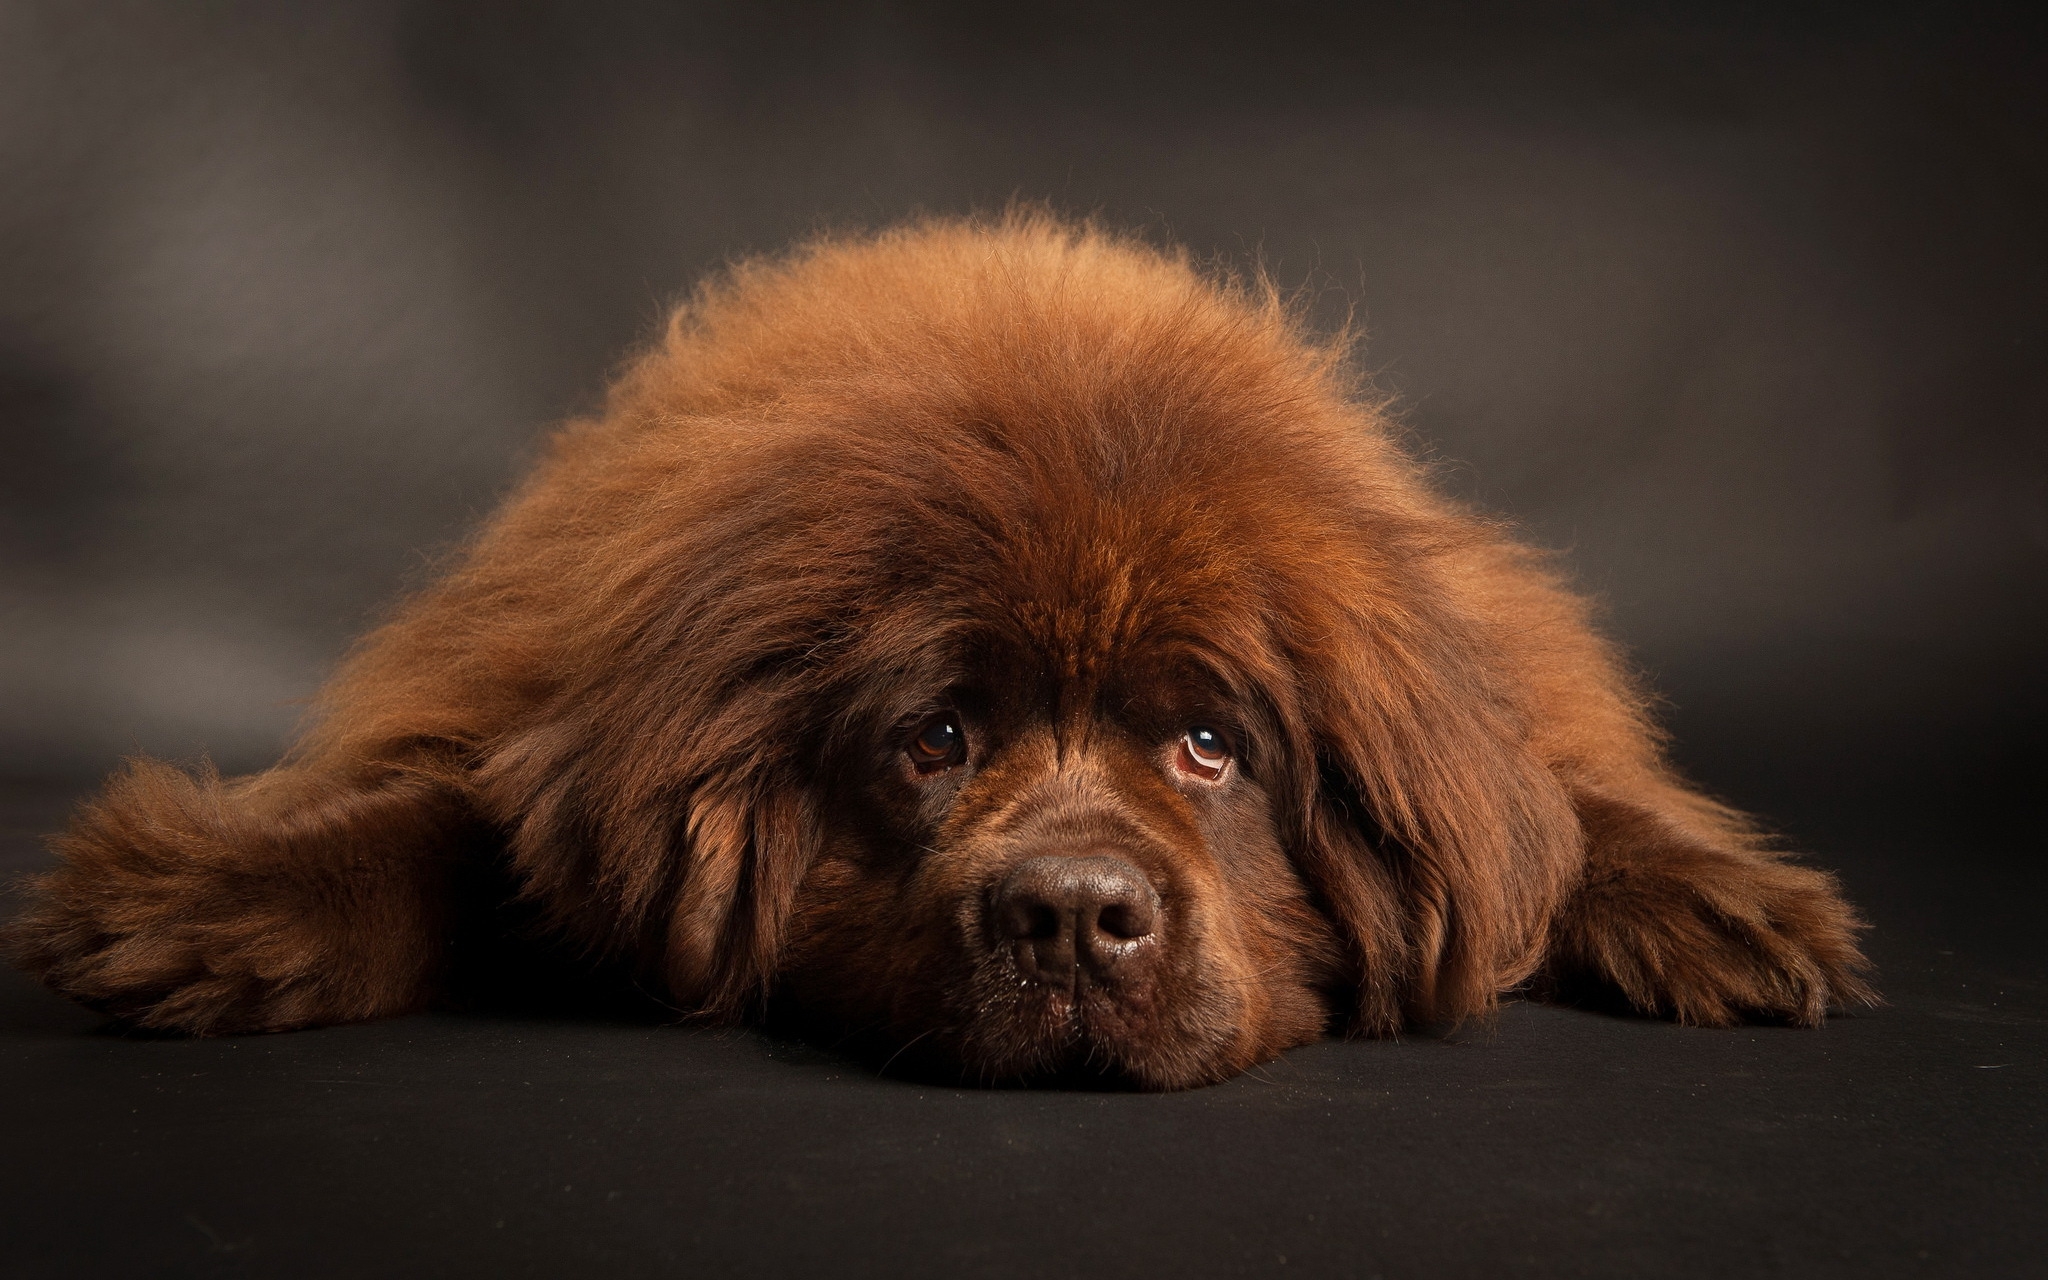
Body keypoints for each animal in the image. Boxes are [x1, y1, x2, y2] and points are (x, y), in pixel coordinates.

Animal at [0, 215, 1875, 1081]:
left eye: (1210, 747)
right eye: (936, 741)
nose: (1072, 916)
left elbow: (1550, 804)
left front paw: (1719, 902)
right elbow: (448, 823)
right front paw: (214, 906)